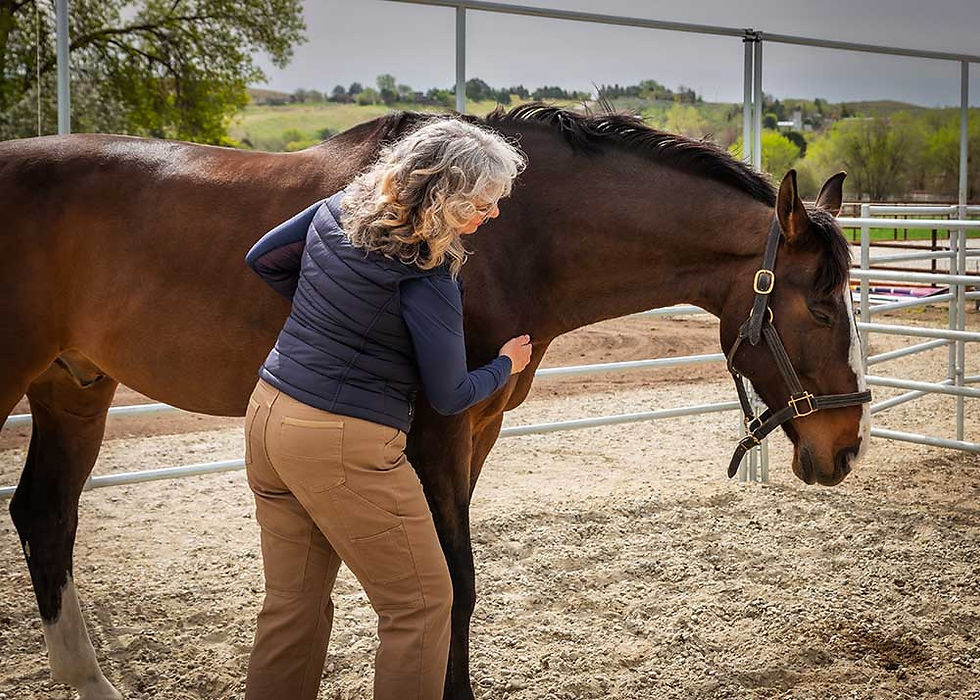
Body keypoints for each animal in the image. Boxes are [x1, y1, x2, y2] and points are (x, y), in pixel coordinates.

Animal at [0, 102, 870, 699]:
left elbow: (455, 586)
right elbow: (456, 582)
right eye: (823, 307)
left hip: (74, 388)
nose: (846, 447)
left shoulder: (476, 433)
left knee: (46, 514)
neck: (514, 239)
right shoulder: (436, 432)